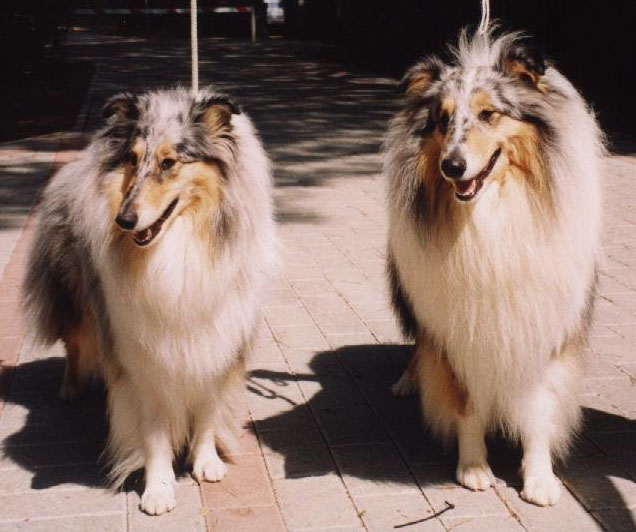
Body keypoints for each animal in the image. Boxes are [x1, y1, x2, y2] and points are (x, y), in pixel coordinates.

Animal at [23, 87, 276, 516]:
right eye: (132, 159)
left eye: (169, 162)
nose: (124, 220)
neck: (179, 244)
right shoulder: (143, 355)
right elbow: (154, 432)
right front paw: (158, 490)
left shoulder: (218, 343)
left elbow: (207, 410)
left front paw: (205, 462)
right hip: (76, 301)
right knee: (75, 345)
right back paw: (70, 387)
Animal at [386, 30, 604, 508]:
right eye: (442, 120)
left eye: (489, 114)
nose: (452, 166)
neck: (490, 213)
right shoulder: (458, 329)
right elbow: (466, 404)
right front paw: (473, 468)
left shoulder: (542, 324)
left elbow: (538, 409)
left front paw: (539, 479)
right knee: (419, 342)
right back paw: (409, 380)